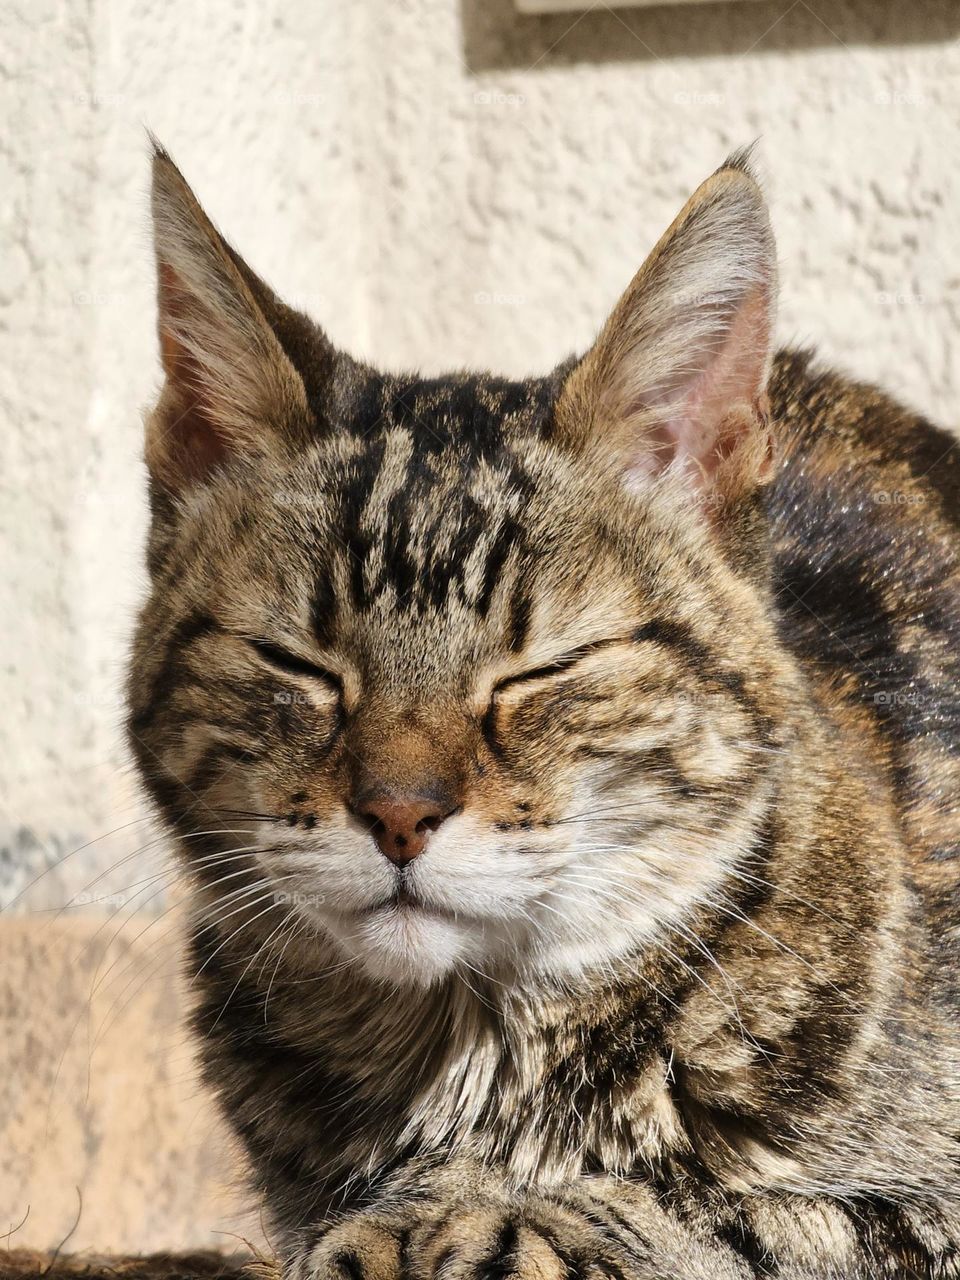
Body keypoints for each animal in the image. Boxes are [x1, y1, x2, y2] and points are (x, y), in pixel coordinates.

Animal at [129, 149, 960, 1280]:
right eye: (297, 663)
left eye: (542, 669)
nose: (398, 812)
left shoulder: (914, 1214)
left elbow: (760, 1212)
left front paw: (481, 1215)